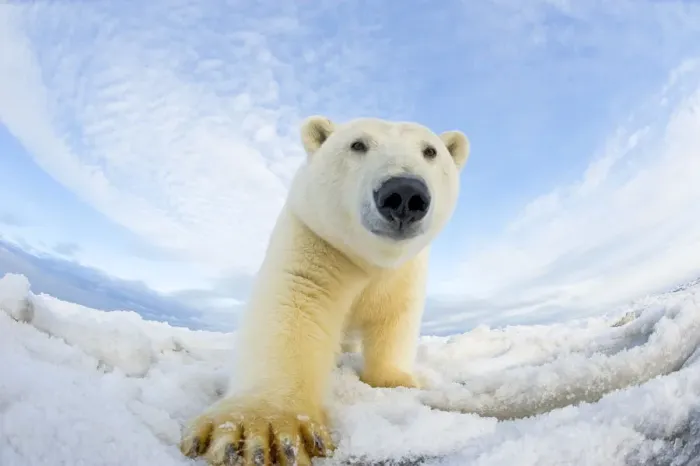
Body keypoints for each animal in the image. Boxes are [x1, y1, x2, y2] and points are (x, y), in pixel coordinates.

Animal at [179, 115, 470, 465]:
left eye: (430, 151)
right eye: (357, 144)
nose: (404, 193)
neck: (370, 260)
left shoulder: (404, 271)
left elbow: (396, 317)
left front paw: (395, 380)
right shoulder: (316, 238)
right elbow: (296, 303)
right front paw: (259, 429)